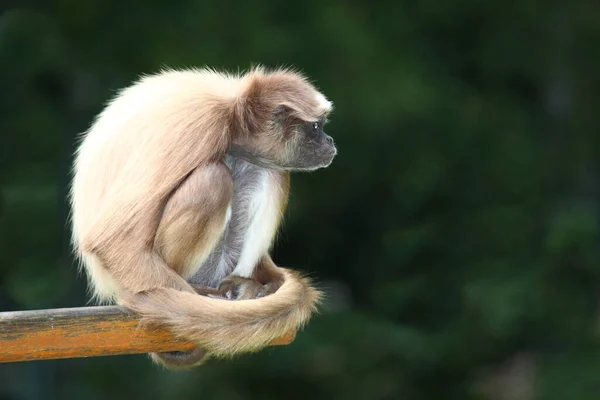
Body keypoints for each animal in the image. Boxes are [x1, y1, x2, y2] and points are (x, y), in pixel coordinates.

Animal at [69, 65, 338, 368]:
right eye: (316, 127)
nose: (329, 141)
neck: (232, 110)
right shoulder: (199, 125)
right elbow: (114, 240)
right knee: (213, 179)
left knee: (270, 170)